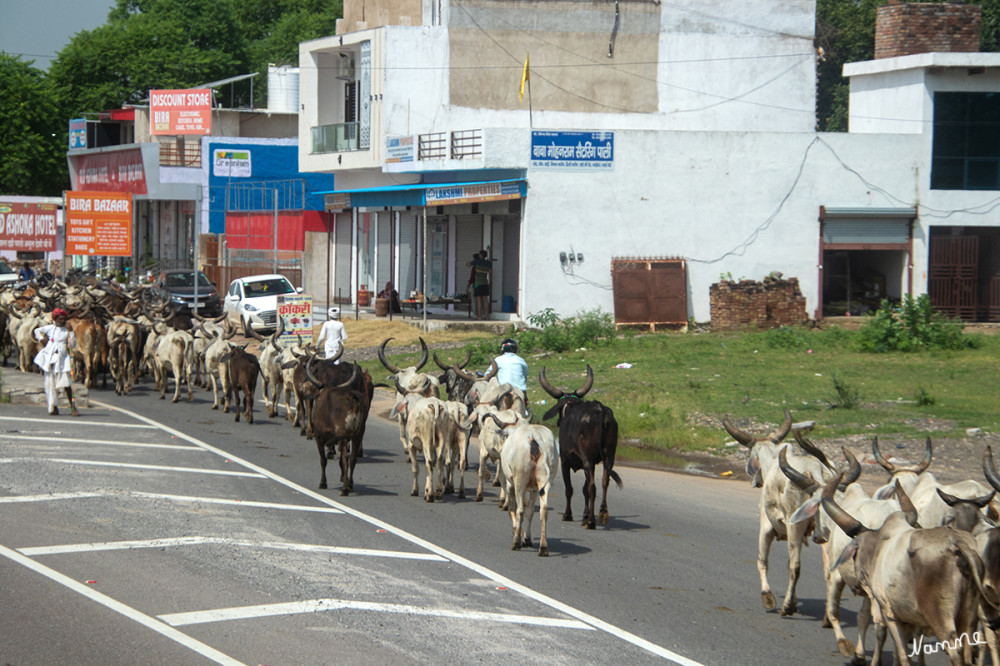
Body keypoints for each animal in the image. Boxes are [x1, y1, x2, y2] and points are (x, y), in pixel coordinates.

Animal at [536, 364, 620, 528]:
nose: (558, 422)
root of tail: (600, 409)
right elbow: (584, 489)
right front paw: (585, 515)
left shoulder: (565, 461)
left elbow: (570, 489)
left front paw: (569, 515)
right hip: (609, 457)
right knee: (604, 482)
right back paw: (602, 513)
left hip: (588, 460)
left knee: (593, 487)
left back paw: (592, 521)